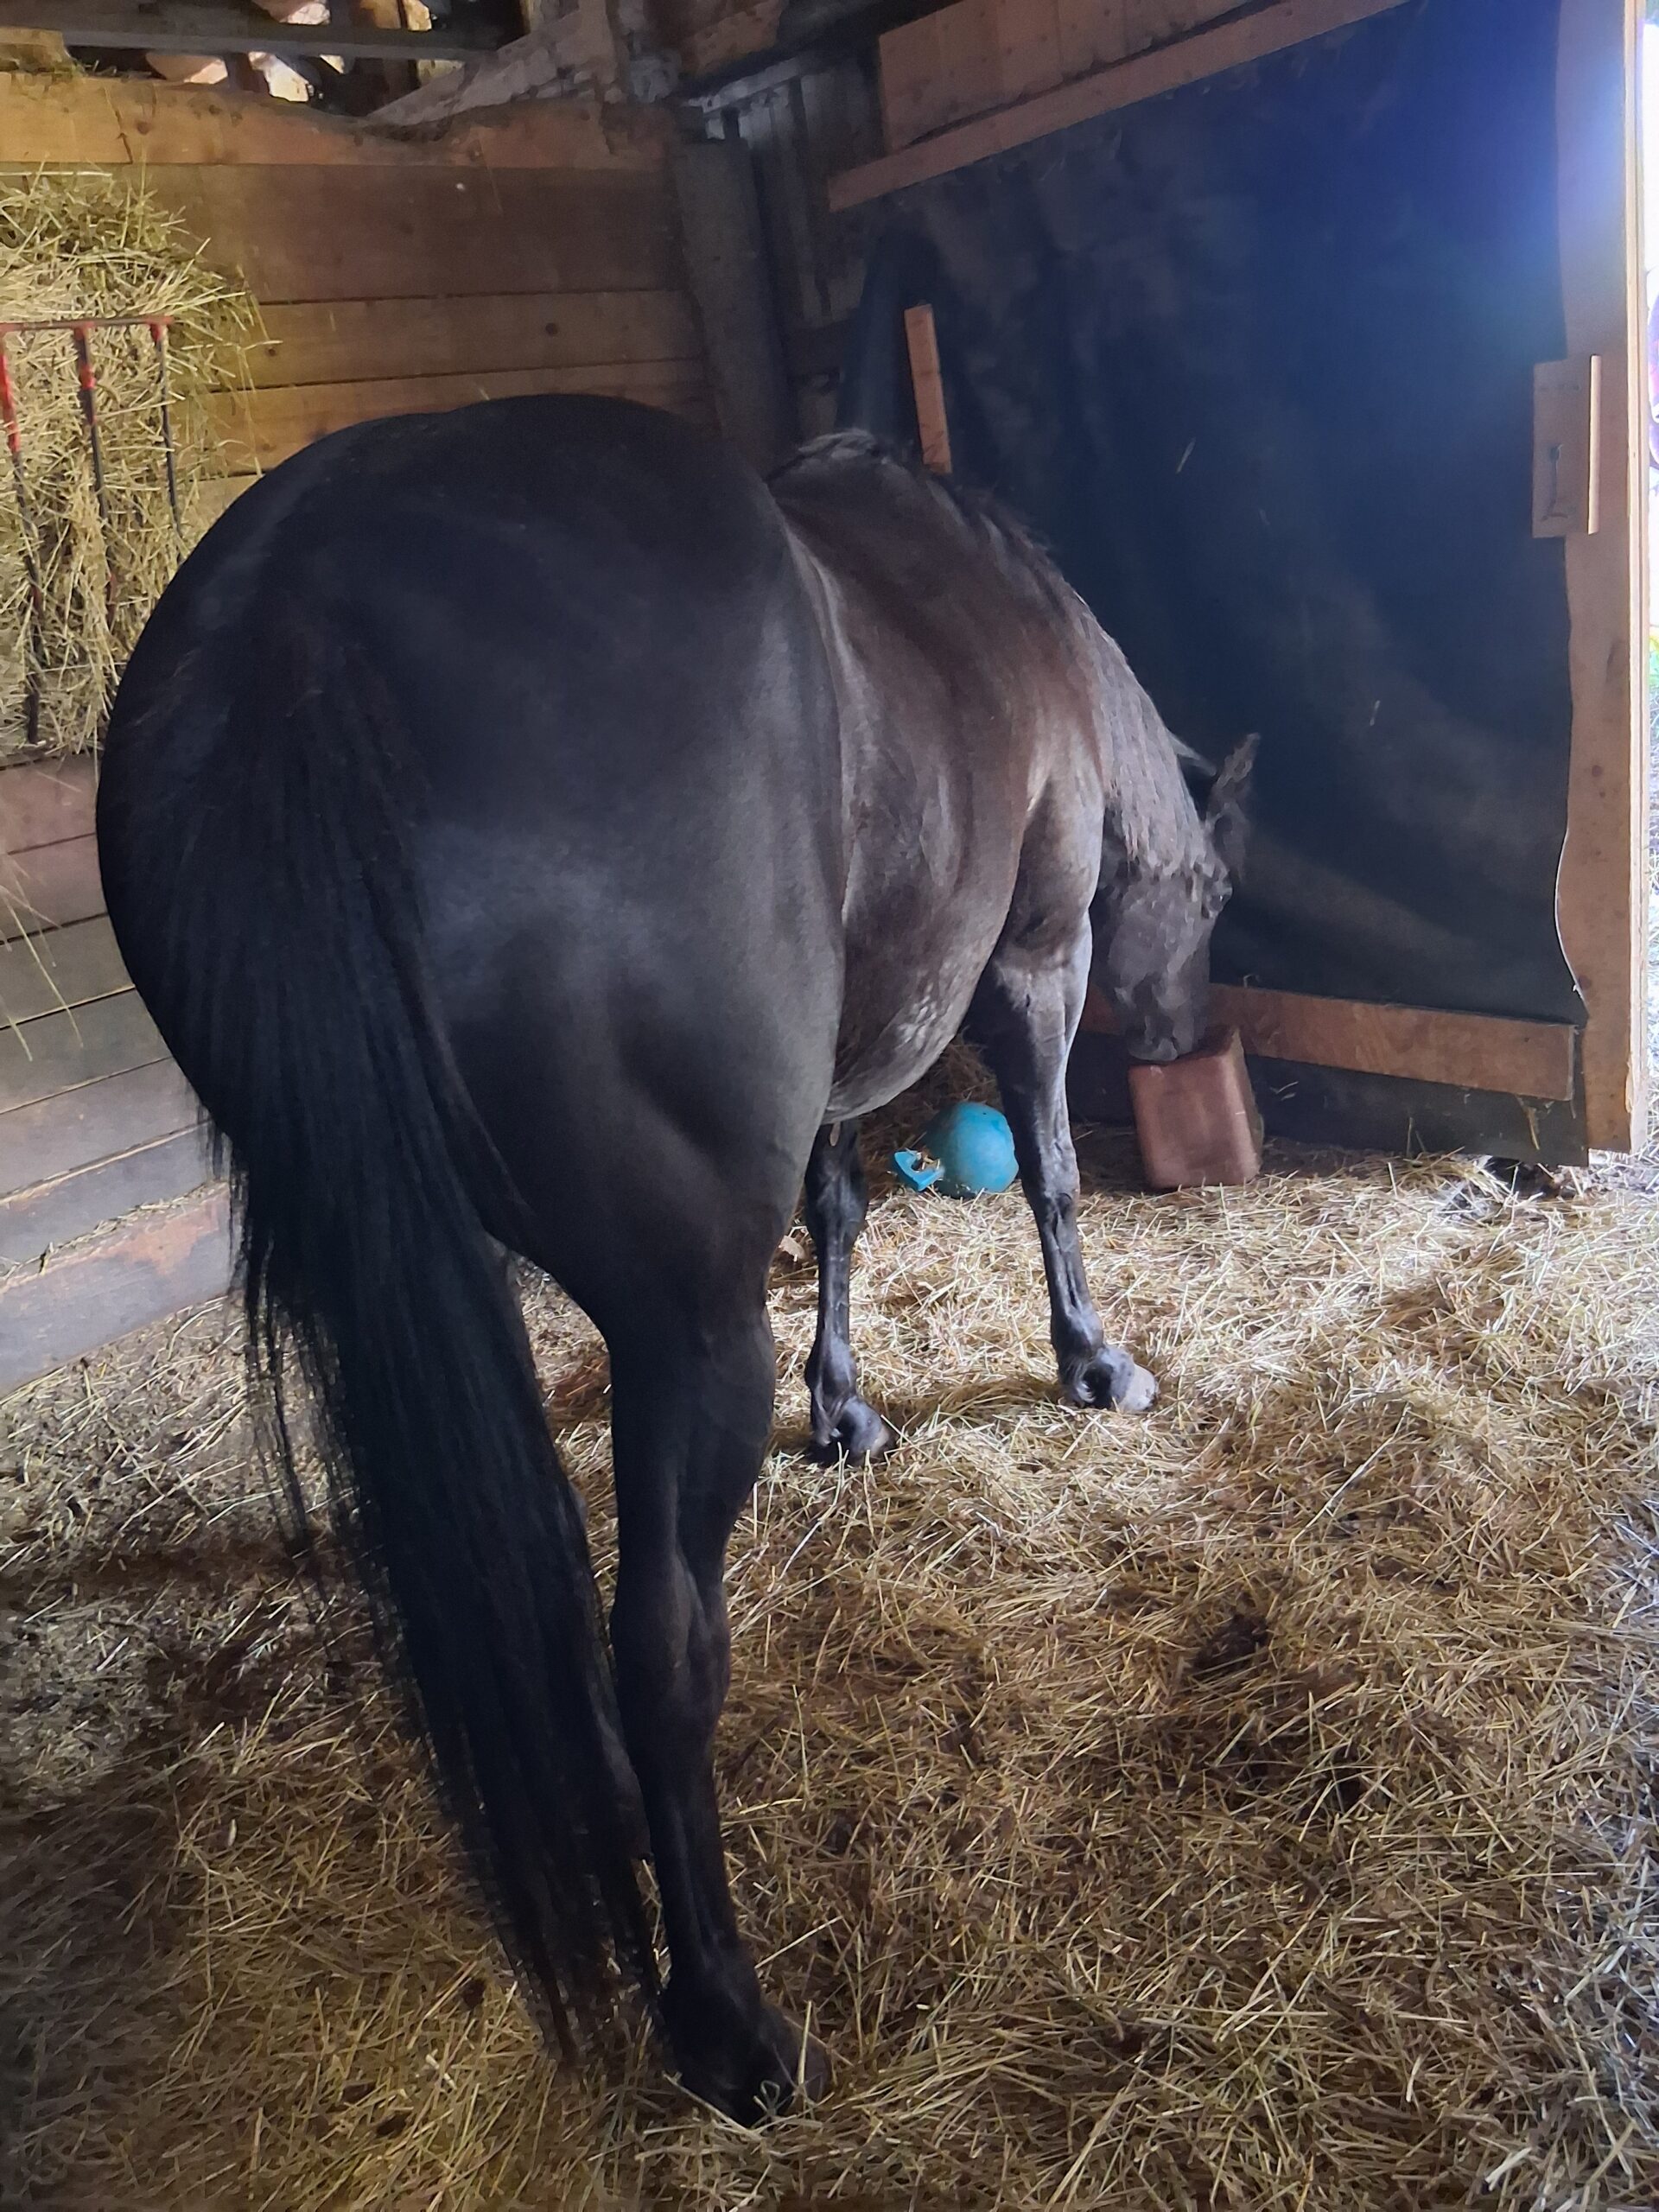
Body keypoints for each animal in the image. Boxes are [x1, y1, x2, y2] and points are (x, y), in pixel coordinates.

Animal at [95, 395, 1255, 2124]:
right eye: (1222, 890)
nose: (1183, 1035)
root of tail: (300, 616)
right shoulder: (1036, 965)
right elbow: (1049, 1175)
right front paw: (1090, 1360)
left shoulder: (836, 1061)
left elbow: (837, 1211)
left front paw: (845, 1411)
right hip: (684, 1327)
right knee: (659, 1648)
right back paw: (723, 2014)